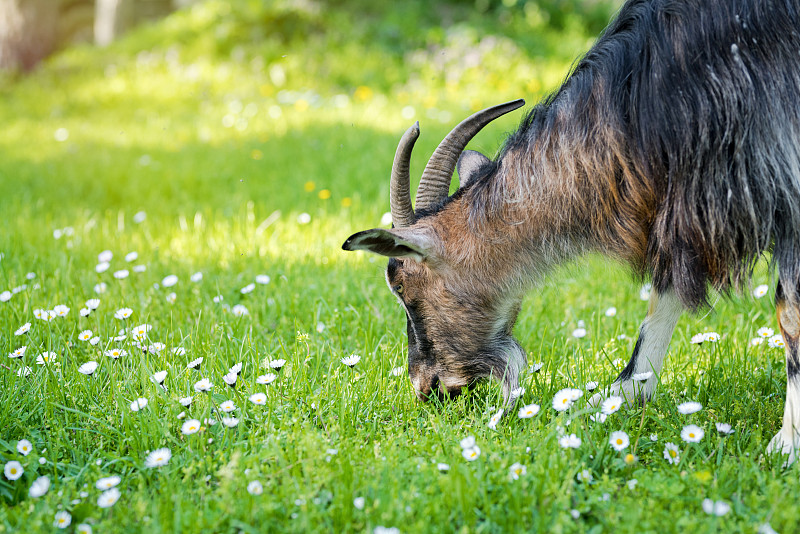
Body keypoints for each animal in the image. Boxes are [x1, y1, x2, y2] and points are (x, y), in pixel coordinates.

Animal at [342, 0, 800, 460]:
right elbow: (662, 296)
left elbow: (788, 310)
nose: (427, 387)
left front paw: (785, 444)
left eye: (403, 288)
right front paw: (615, 397)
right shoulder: (688, 209)